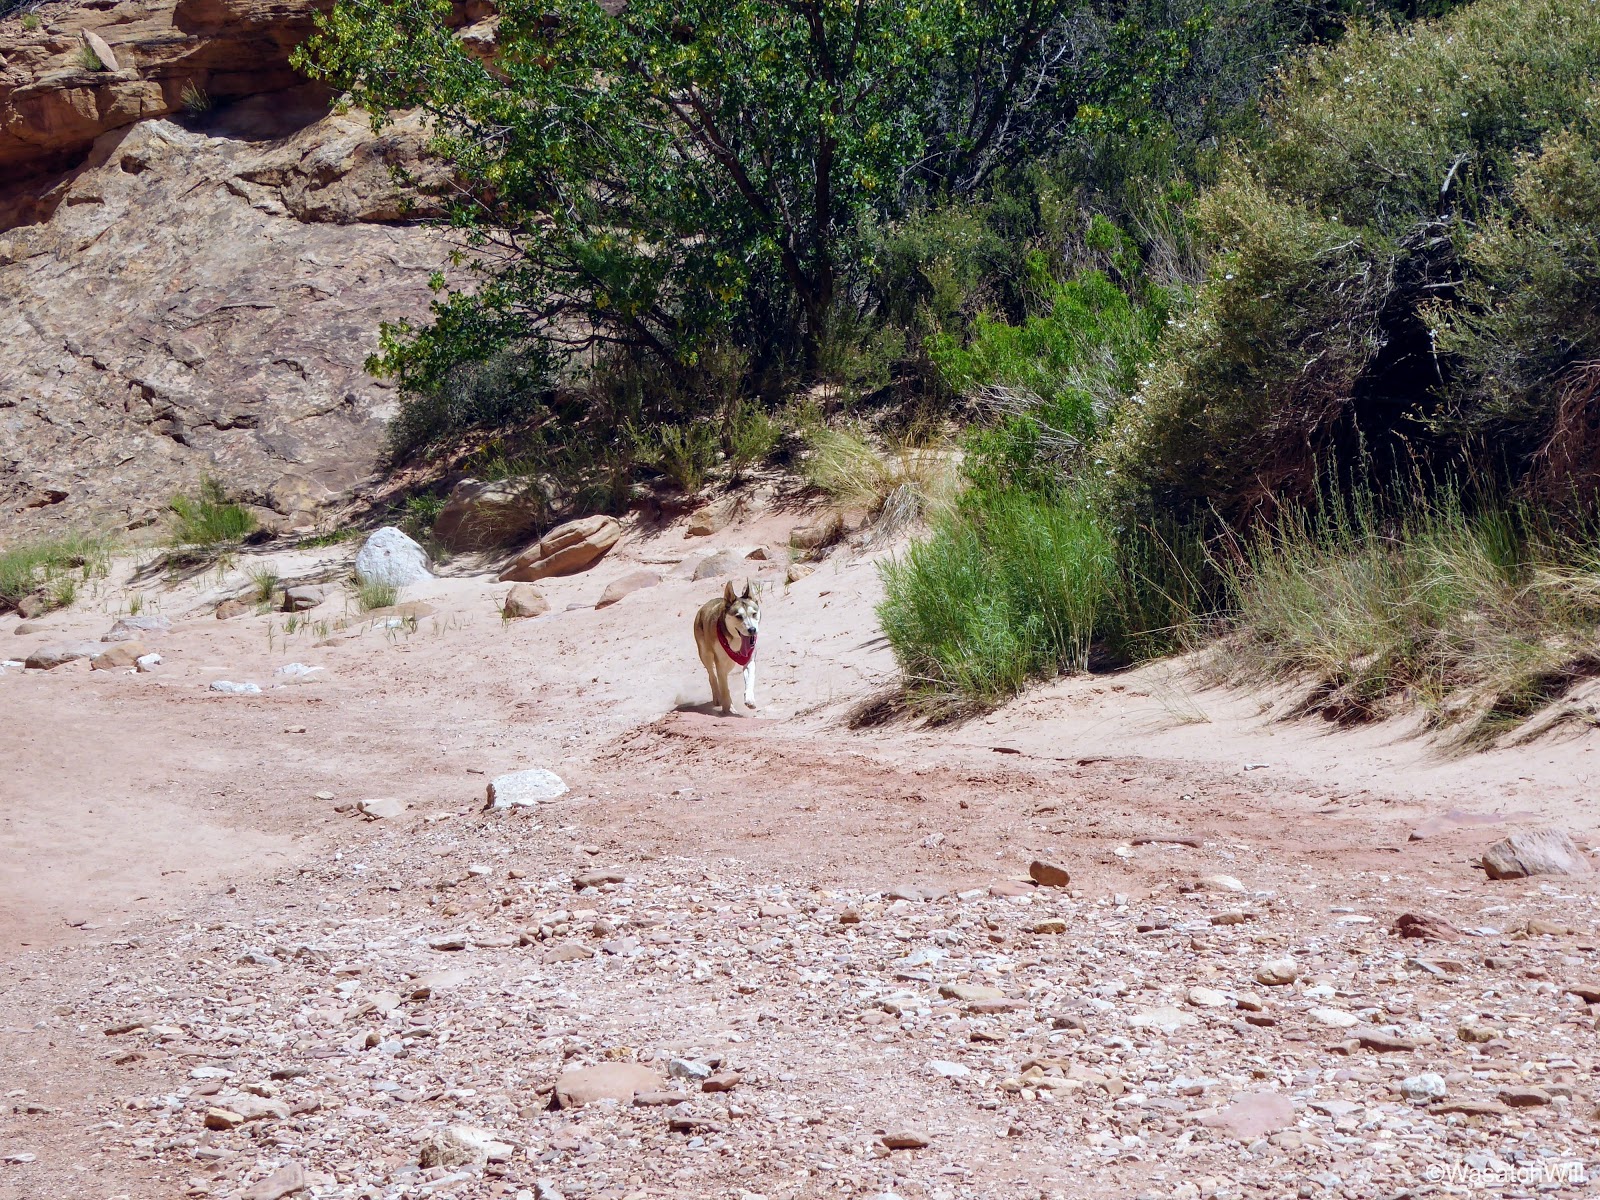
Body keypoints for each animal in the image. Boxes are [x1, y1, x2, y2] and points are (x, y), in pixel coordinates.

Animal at [693, 579, 761, 715]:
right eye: (739, 616)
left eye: (754, 614)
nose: (752, 630)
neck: (736, 640)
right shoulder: (720, 663)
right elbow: (723, 687)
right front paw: (727, 708)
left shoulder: (749, 659)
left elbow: (750, 678)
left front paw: (749, 699)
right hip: (705, 654)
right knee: (712, 676)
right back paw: (718, 698)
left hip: (730, 663)